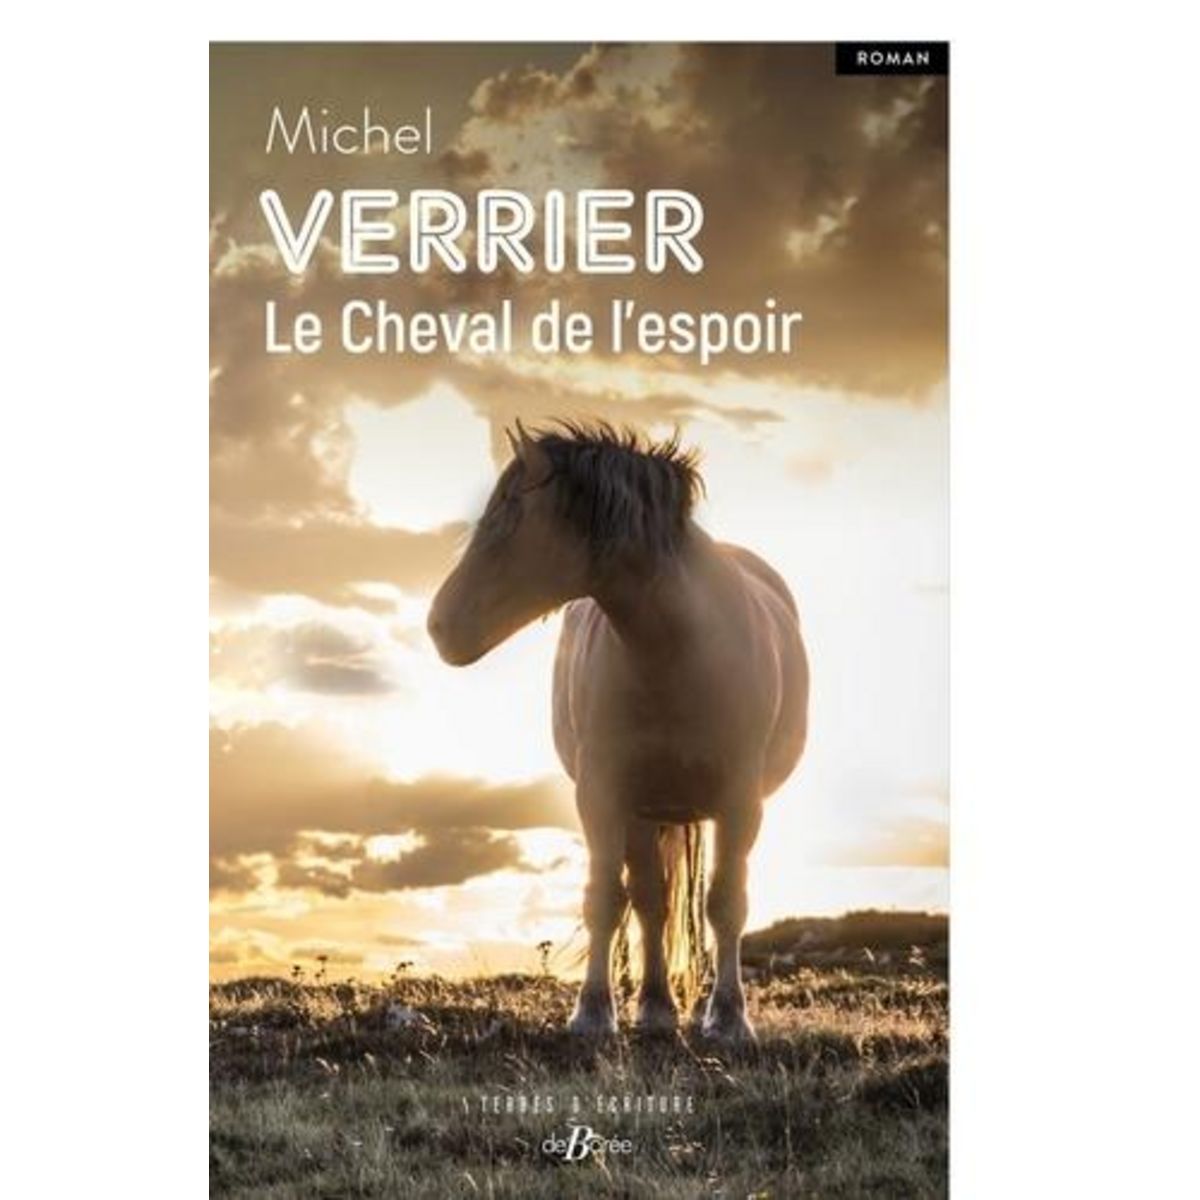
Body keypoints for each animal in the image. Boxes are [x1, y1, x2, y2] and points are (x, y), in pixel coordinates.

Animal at [428, 420, 809, 1041]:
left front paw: (729, 1019)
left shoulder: (739, 802)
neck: (677, 653)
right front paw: (592, 1012)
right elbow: (607, 899)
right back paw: (654, 1007)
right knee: (651, 902)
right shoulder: (603, 794)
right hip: (642, 810)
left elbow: (726, 903)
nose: (439, 626)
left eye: (508, 515)